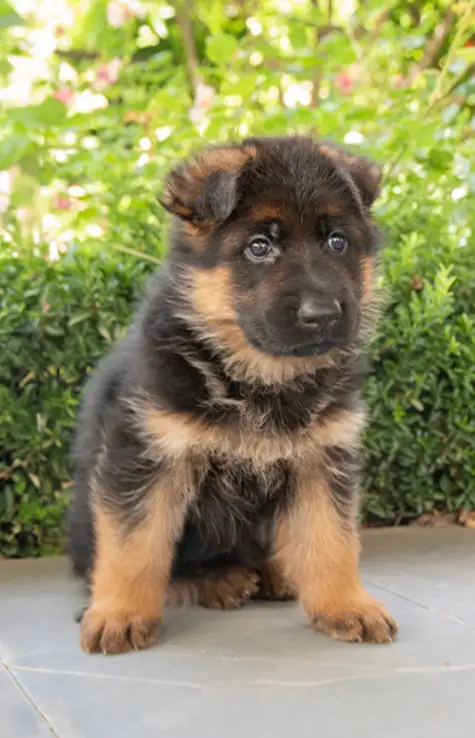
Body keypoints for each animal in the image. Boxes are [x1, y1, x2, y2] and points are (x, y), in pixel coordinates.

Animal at [68, 135, 398, 652]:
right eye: (259, 247)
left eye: (337, 242)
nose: (322, 315)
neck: (257, 376)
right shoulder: (146, 456)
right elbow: (134, 545)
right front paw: (119, 613)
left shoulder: (320, 458)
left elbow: (331, 539)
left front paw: (346, 605)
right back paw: (218, 581)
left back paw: (276, 573)